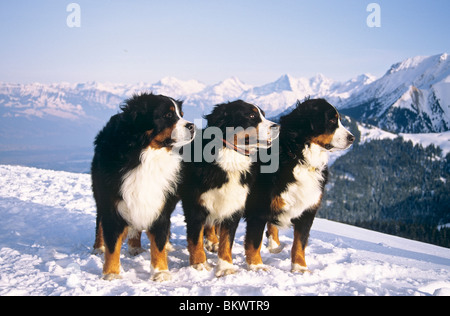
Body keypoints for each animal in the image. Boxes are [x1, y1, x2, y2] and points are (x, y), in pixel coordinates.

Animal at [91, 92, 195, 280]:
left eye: (181, 114)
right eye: (168, 115)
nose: (192, 126)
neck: (145, 155)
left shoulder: (158, 201)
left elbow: (158, 241)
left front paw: (161, 272)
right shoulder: (112, 202)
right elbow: (112, 244)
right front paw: (111, 273)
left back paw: (137, 246)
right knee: (100, 223)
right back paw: (98, 248)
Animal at [178, 100, 278, 276]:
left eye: (263, 115)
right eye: (251, 115)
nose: (277, 126)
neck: (229, 159)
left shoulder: (233, 205)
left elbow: (227, 241)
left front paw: (226, 267)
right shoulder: (195, 206)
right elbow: (195, 239)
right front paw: (199, 264)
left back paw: (212, 241)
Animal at [244, 100, 354, 272]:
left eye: (340, 120)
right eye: (331, 120)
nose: (352, 138)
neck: (300, 159)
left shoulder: (308, 210)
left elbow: (299, 243)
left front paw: (300, 268)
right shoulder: (259, 209)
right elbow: (254, 241)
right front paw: (256, 266)